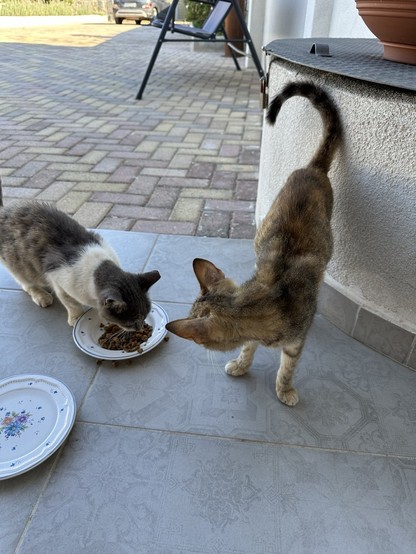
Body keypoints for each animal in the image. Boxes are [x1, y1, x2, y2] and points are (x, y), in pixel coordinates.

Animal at [0, 181, 160, 328]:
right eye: (131, 322)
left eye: (146, 314)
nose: (141, 327)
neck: (97, 265)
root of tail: (4, 210)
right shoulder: (58, 280)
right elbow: (71, 303)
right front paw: (76, 318)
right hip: (19, 266)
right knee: (26, 283)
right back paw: (42, 296)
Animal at [166, 80, 342, 404]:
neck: (271, 298)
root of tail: (312, 168)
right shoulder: (254, 336)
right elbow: (248, 348)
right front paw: (240, 364)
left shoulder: (295, 343)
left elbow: (287, 368)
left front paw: (284, 390)